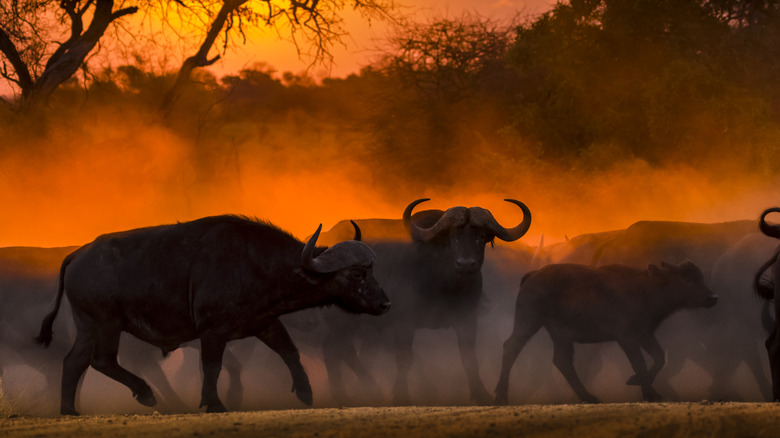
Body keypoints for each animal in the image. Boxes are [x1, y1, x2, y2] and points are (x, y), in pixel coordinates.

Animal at [35, 216, 390, 414]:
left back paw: (69, 410)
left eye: (372, 270)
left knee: (74, 361)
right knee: (101, 360)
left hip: (88, 327)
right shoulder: (212, 331)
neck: (255, 263)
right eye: (357, 274)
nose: (385, 304)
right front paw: (214, 403)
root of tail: (78, 254)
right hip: (106, 324)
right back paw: (145, 394)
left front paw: (305, 392)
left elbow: (290, 351)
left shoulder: (264, 322)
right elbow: (212, 367)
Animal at [496, 260, 716, 404]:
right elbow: (640, 363)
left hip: (560, 335)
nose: (713, 297)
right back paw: (501, 397)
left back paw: (589, 397)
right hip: (528, 323)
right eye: (687, 279)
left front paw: (641, 385)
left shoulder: (645, 334)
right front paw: (648, 392)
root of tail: (533, 275)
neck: (646, 287)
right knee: (511, 347)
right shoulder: (627, 338)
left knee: (562, 360)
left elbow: (659, 357)